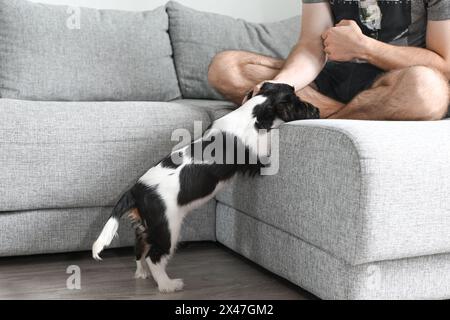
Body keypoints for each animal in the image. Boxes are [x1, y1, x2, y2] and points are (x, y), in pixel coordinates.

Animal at [91, 82, 318, 292]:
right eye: (300, 103)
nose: (317, 111)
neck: (253, 113)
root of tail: (135, 190)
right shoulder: (258, 157)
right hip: (167, 227)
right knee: (154, 257)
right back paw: (168, 285)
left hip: (147, 227)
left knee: (140, 250)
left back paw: (142, 274)